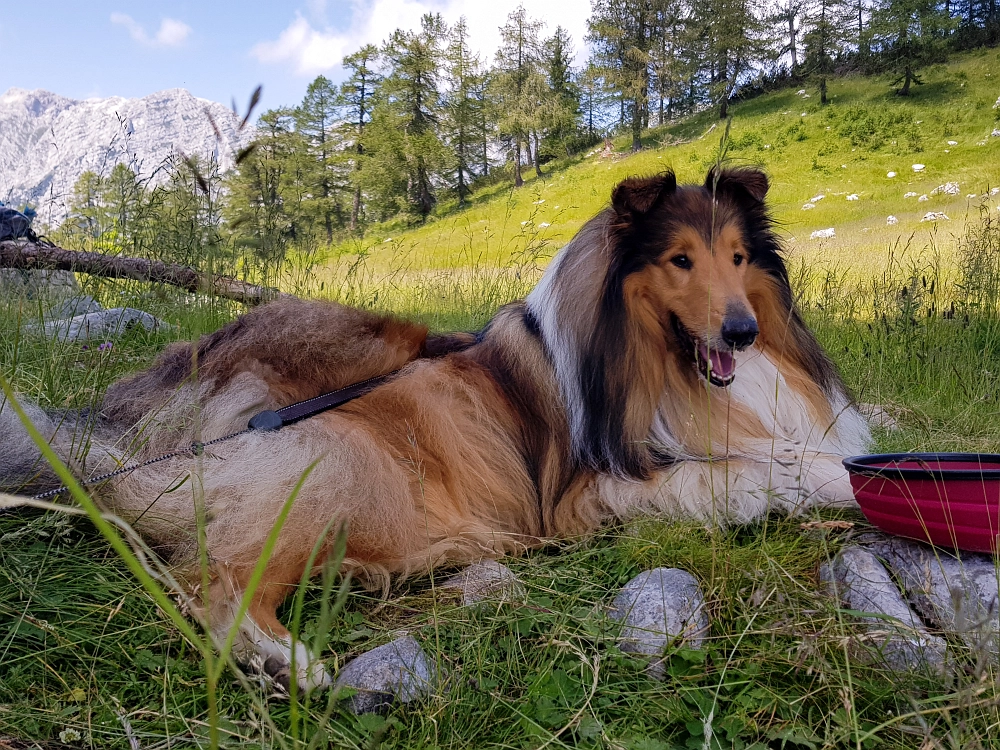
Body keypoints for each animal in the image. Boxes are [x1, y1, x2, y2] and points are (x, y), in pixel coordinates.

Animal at [1, 169, 868, 692]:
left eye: (737, 256)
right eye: (680, 261)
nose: (742, 333)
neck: (652, 359)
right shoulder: (598, 490)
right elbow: (768, 467)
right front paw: (834, 481)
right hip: (336, 456)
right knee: (210, 583)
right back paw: (292, 664)